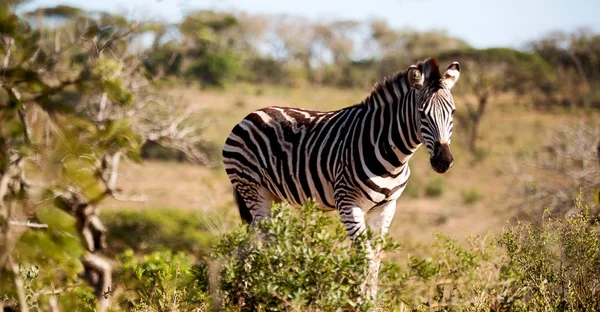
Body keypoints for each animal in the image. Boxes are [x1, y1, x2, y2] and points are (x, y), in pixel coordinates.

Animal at [223, 57, 462, 298]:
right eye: (422, 113)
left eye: (452, 113)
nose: (443, 161)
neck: (392, 155)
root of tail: (251, 115)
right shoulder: (348, 203)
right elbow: (365, 256)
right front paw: (360, 300)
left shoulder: (386, 206)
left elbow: (376, 257)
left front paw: (371, 299)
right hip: (252, 188)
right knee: (265, 239)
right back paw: (270, 289)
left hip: (274, 196)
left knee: (258, 240)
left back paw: (255, 289)